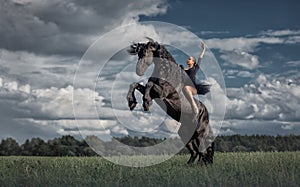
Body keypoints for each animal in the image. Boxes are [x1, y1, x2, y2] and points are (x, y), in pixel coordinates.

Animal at [126, 38, 213, 166]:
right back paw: (189, 165)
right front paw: (132, 103)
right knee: (195, 151)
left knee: (203, 151)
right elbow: (135, 84)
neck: (167, 73)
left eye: (145, 53)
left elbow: (149, 85)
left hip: (199, 134)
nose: (138, 71)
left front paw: (146, 103)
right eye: (138, 54)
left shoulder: (162, 93)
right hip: (185, 133)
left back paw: (200, 166)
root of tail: (206, 113)